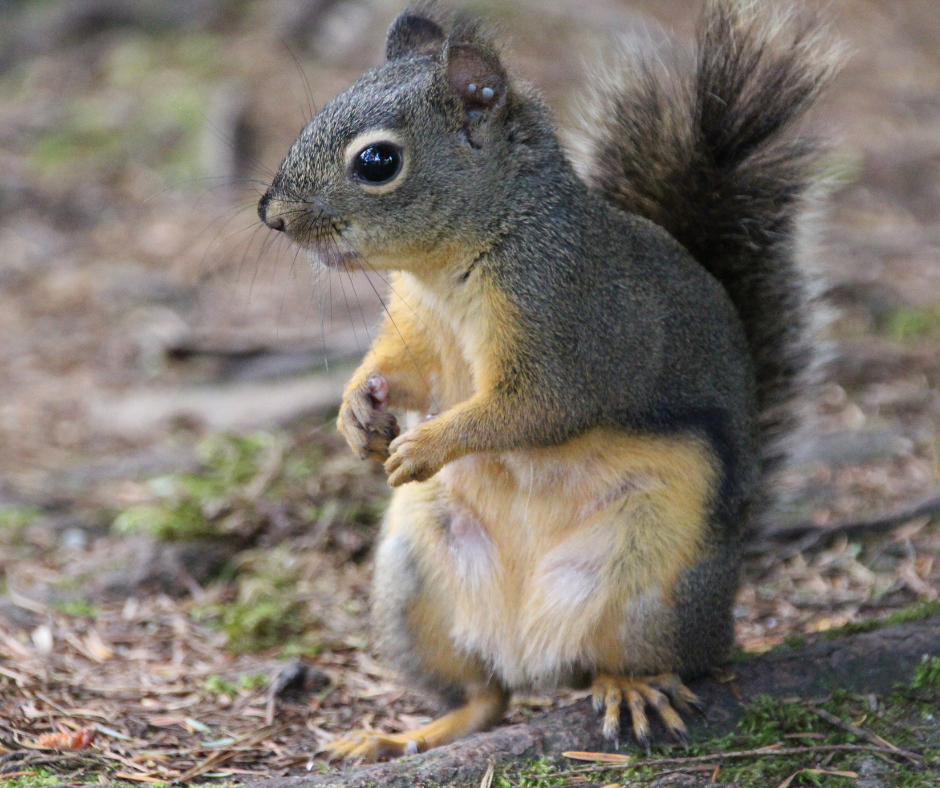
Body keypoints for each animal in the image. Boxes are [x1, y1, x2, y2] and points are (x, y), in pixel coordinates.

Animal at [258, 0, 838, 761]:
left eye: (377, 162)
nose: (271, 215)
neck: (449, 268)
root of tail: (530, 650)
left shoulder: (563, 320)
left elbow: (532, 408)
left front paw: (426, 444)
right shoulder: (417, 328)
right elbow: (403, 374)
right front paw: (357, 411)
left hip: (655, 583)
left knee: (646, 660)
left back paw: (632, 689)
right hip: (411, 588)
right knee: (485, 698)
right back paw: (402, 735)